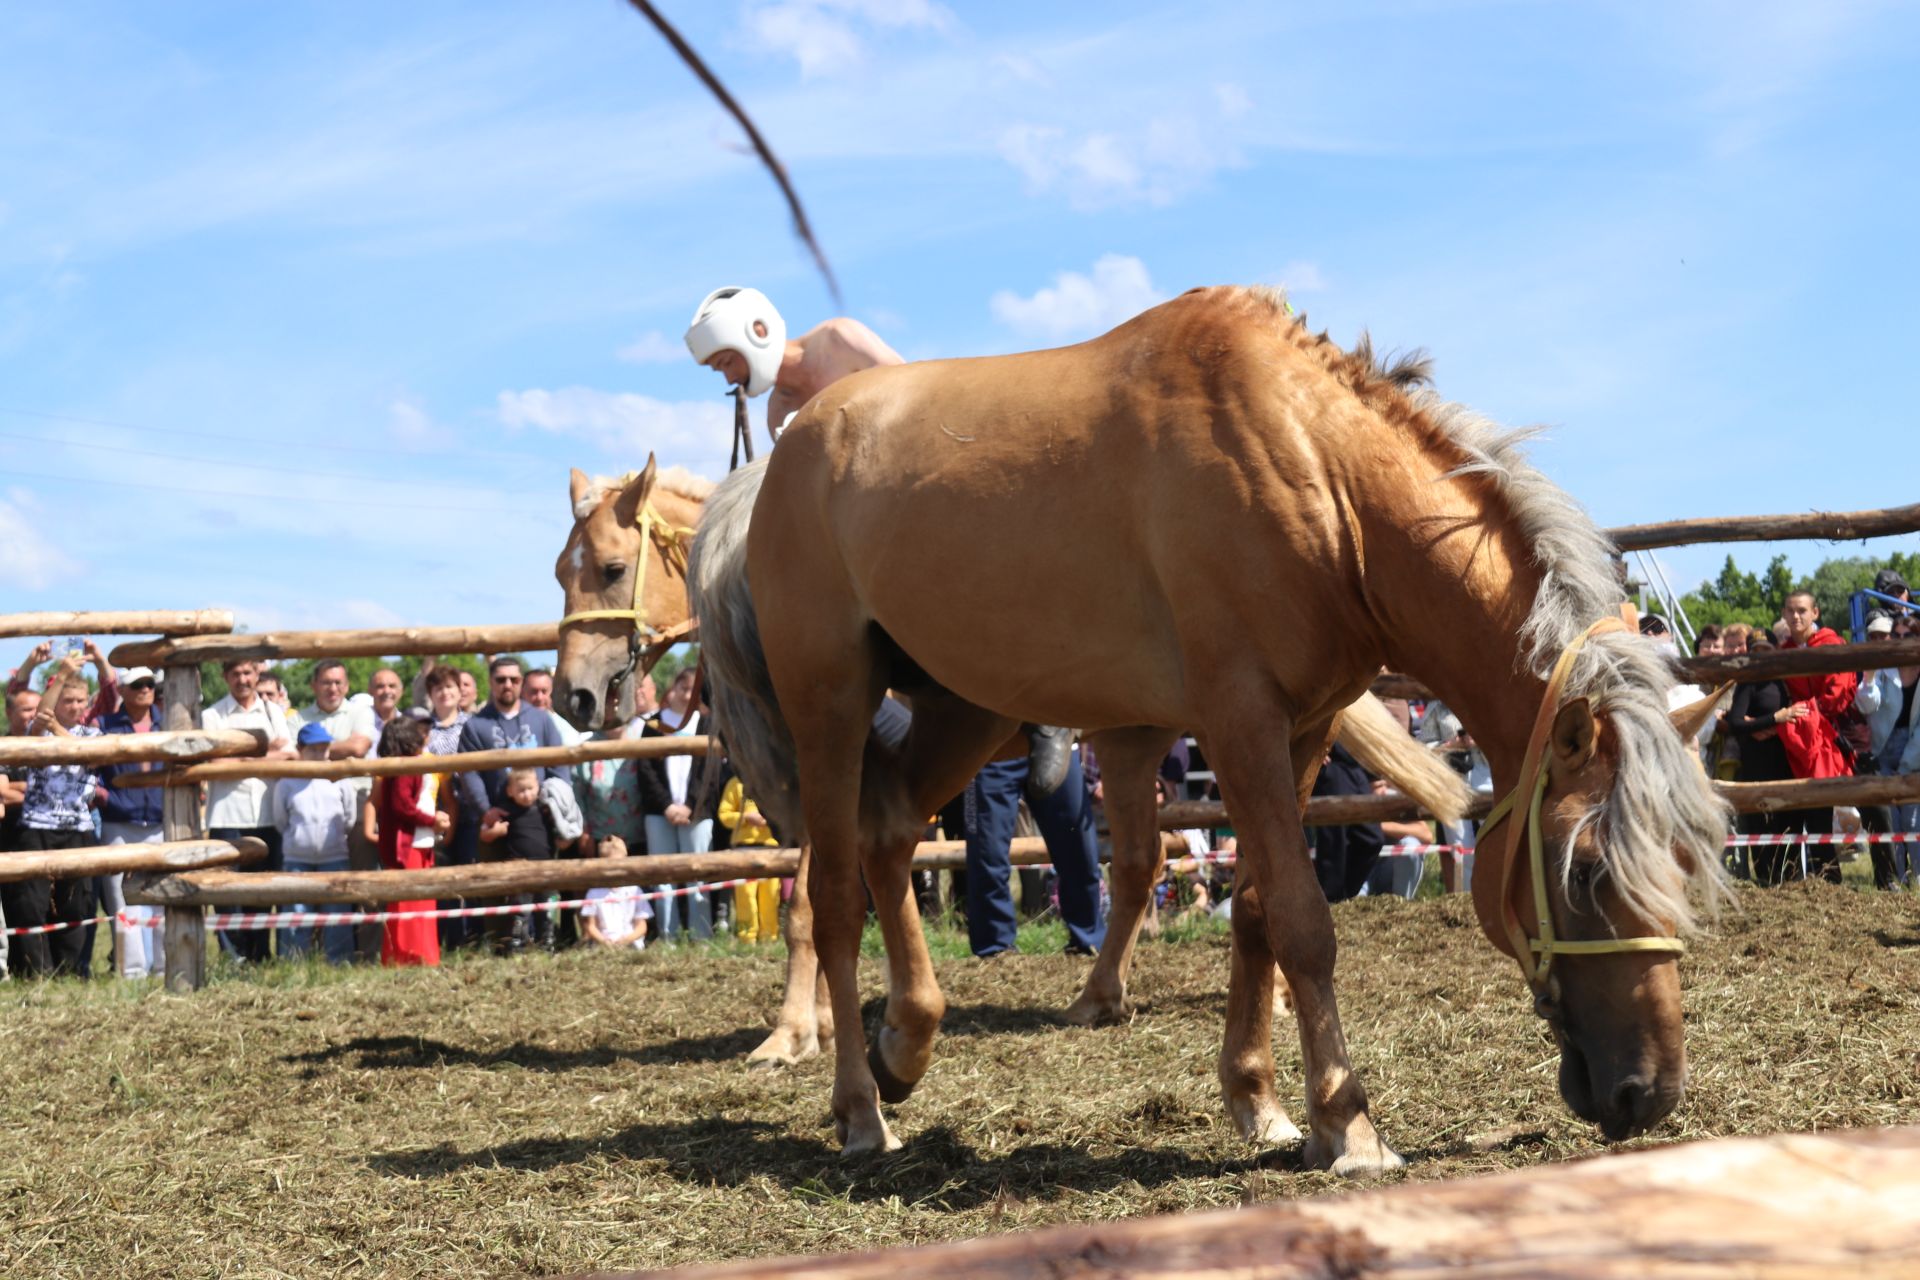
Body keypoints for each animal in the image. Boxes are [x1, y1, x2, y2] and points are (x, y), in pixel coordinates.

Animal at [687, 287, 1728, 1174]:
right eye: (1583, 872)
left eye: (1687, 860)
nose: (1648, 1094)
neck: (1318, 475)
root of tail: (782, 461)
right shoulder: (1239, 720)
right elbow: (1305, 921)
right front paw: (1348, 1124)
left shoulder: (1305, 727)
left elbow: (1259, 910)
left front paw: (1262, 1104)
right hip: (831, 705)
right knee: (832, 896)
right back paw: (861, 1108)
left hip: (965, 705)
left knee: (892, 830)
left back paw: (906, 1043)